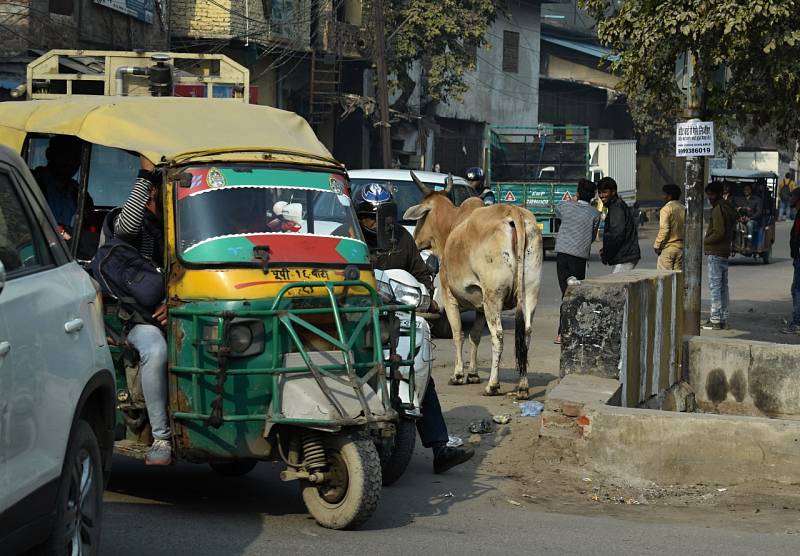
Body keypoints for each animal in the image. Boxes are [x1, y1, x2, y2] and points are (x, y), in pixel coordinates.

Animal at [400, 172, 544, 398]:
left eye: (422, 217)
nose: (414, 240)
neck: (452, 226)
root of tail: (513, 213)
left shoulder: (449, 297)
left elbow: (458, 334)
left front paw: (459, 375)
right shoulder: (479, 304)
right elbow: (475, 336)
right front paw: (474, 374)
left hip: (493, 296)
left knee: (498, 335)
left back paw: (492, 385)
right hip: (529, 293)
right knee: (526, 333)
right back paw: (522, 387)